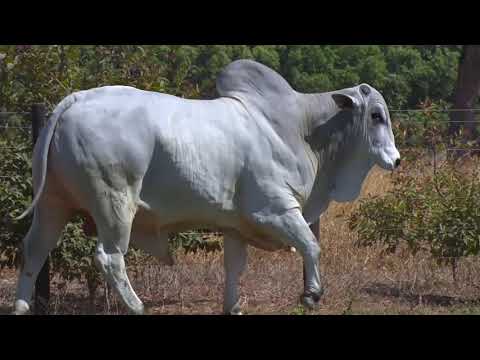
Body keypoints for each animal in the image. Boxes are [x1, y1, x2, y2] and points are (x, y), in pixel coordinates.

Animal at [13, 59, 400, 316]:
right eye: (376, 115)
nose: (396, 160)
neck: (303, 129)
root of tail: (76, 99)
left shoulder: (236, 225)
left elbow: (234, 267)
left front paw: (234, 307)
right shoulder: (275, 209)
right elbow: (311, 246)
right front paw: (311, 294)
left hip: (54, 202)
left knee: (34, 250)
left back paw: (20, 305)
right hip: (115, 203)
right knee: (110, 257)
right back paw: (137, 306)